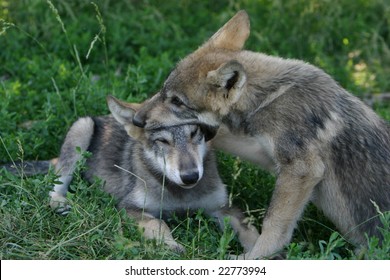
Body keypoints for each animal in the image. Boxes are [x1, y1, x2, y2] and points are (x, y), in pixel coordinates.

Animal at [48, 95, 258, 254]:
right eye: (163, 141)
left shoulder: (222, 207)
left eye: (194, 133)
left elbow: (251, 231)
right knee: (54, 185)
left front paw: (260, 252)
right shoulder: (129, 207)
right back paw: (61, 203)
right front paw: (170, 246)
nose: (190, 176)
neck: (180, 195)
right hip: (82, 127)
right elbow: (158, 224)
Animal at [131, 11, 390, 260]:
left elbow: (272, 224)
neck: (269, 96)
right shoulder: (267, 154)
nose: (137, 120)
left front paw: (256, 257)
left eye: (177, 101)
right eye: (163, 90)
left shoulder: (301, 170)